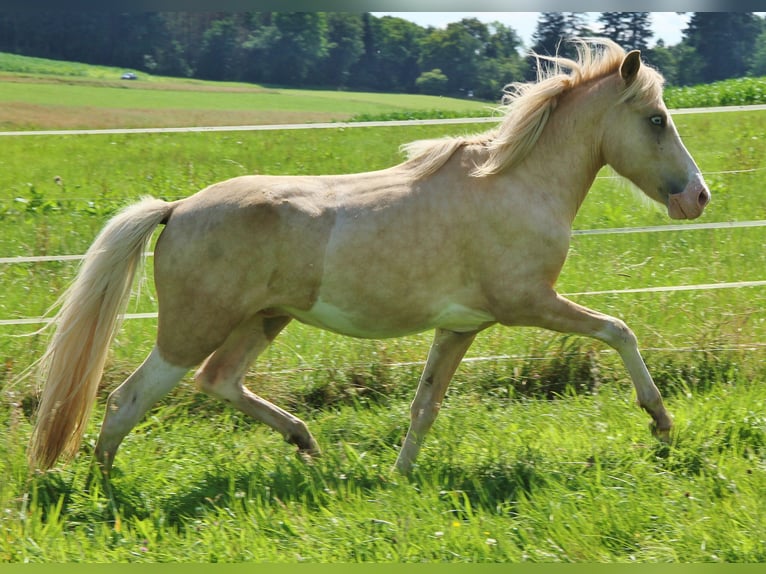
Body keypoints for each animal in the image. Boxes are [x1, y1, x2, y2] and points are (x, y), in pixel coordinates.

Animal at [30, 40, 712, 480]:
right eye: (657, 119)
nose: (698, 197)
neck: (513, 183)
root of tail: (175, 209)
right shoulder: (528, 303)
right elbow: (619, 330)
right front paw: (660, 421)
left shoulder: (462, 326)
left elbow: (425, 404)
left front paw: (400, 476)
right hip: (191, 329)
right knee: (127, 400)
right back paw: (108, 490)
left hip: (264, 319)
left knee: (218, 380)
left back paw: (306, 443)